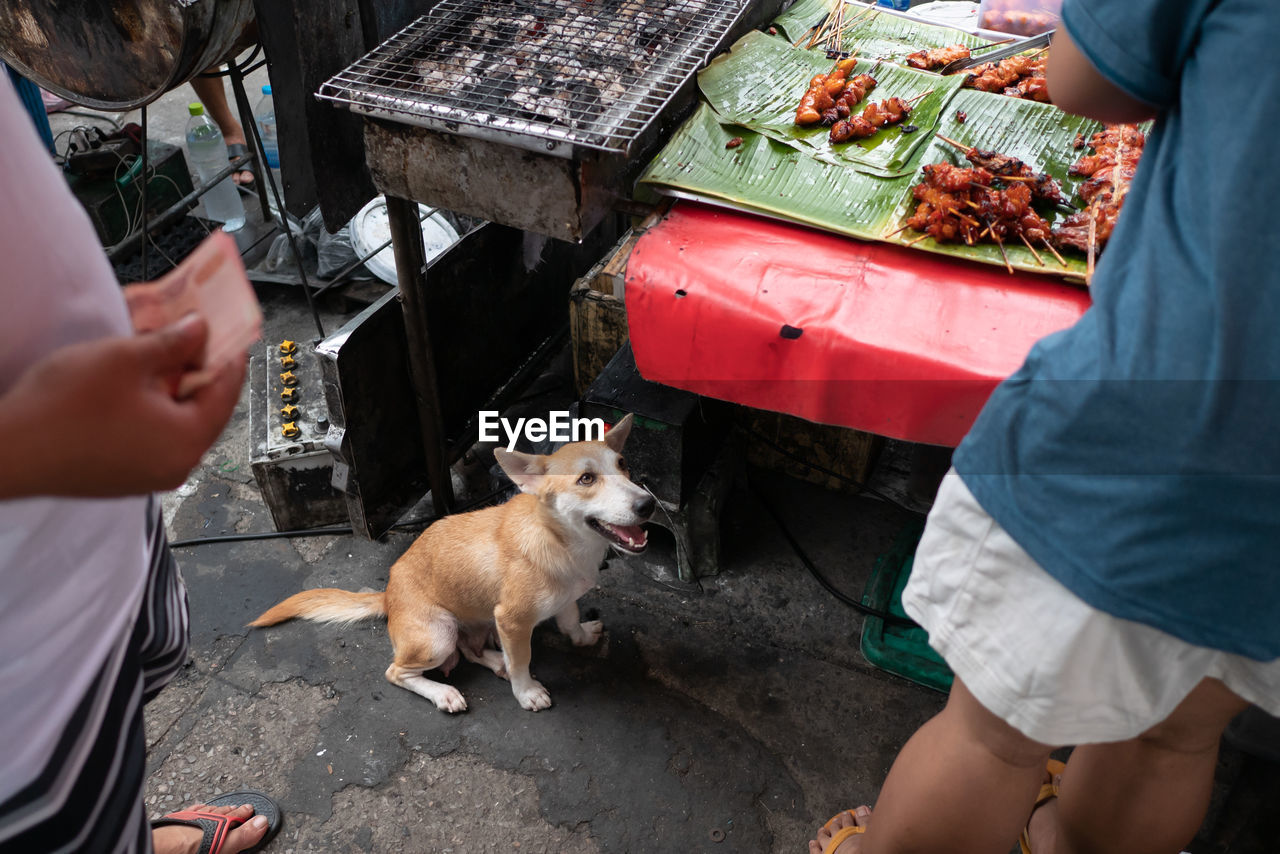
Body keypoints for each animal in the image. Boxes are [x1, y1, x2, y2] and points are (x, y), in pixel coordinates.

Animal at [248, 414, 655, 717]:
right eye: (586, 479)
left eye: (623, 465)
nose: (648, 504)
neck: (561, 542)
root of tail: (388, 595)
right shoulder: (511, 620)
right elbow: (523, 659)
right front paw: (526, 692)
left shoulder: (564, 597)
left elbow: (568, 619)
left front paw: (582, 635)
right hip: (438, 633)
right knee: (397, 671)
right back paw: (444, 692)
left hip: (473, 624)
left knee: (470, 651)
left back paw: (494, 662)